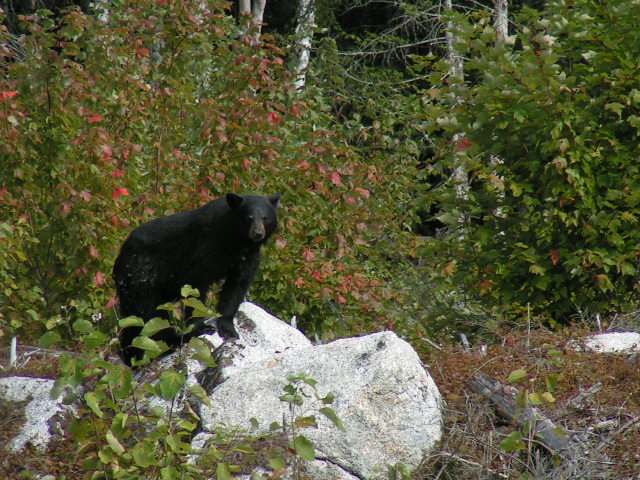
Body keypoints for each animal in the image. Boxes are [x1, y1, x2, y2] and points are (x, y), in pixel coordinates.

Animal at [113, 192, 281, 366]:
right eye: (248, 217)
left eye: (265, 218)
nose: (257, 233)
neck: (233, 239)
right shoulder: (202, 248)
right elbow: (196, 285)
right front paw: (200, 328)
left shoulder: (247, 257)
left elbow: (236, 286)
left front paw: (228, 329)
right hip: (141, 277)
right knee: (149, 313)